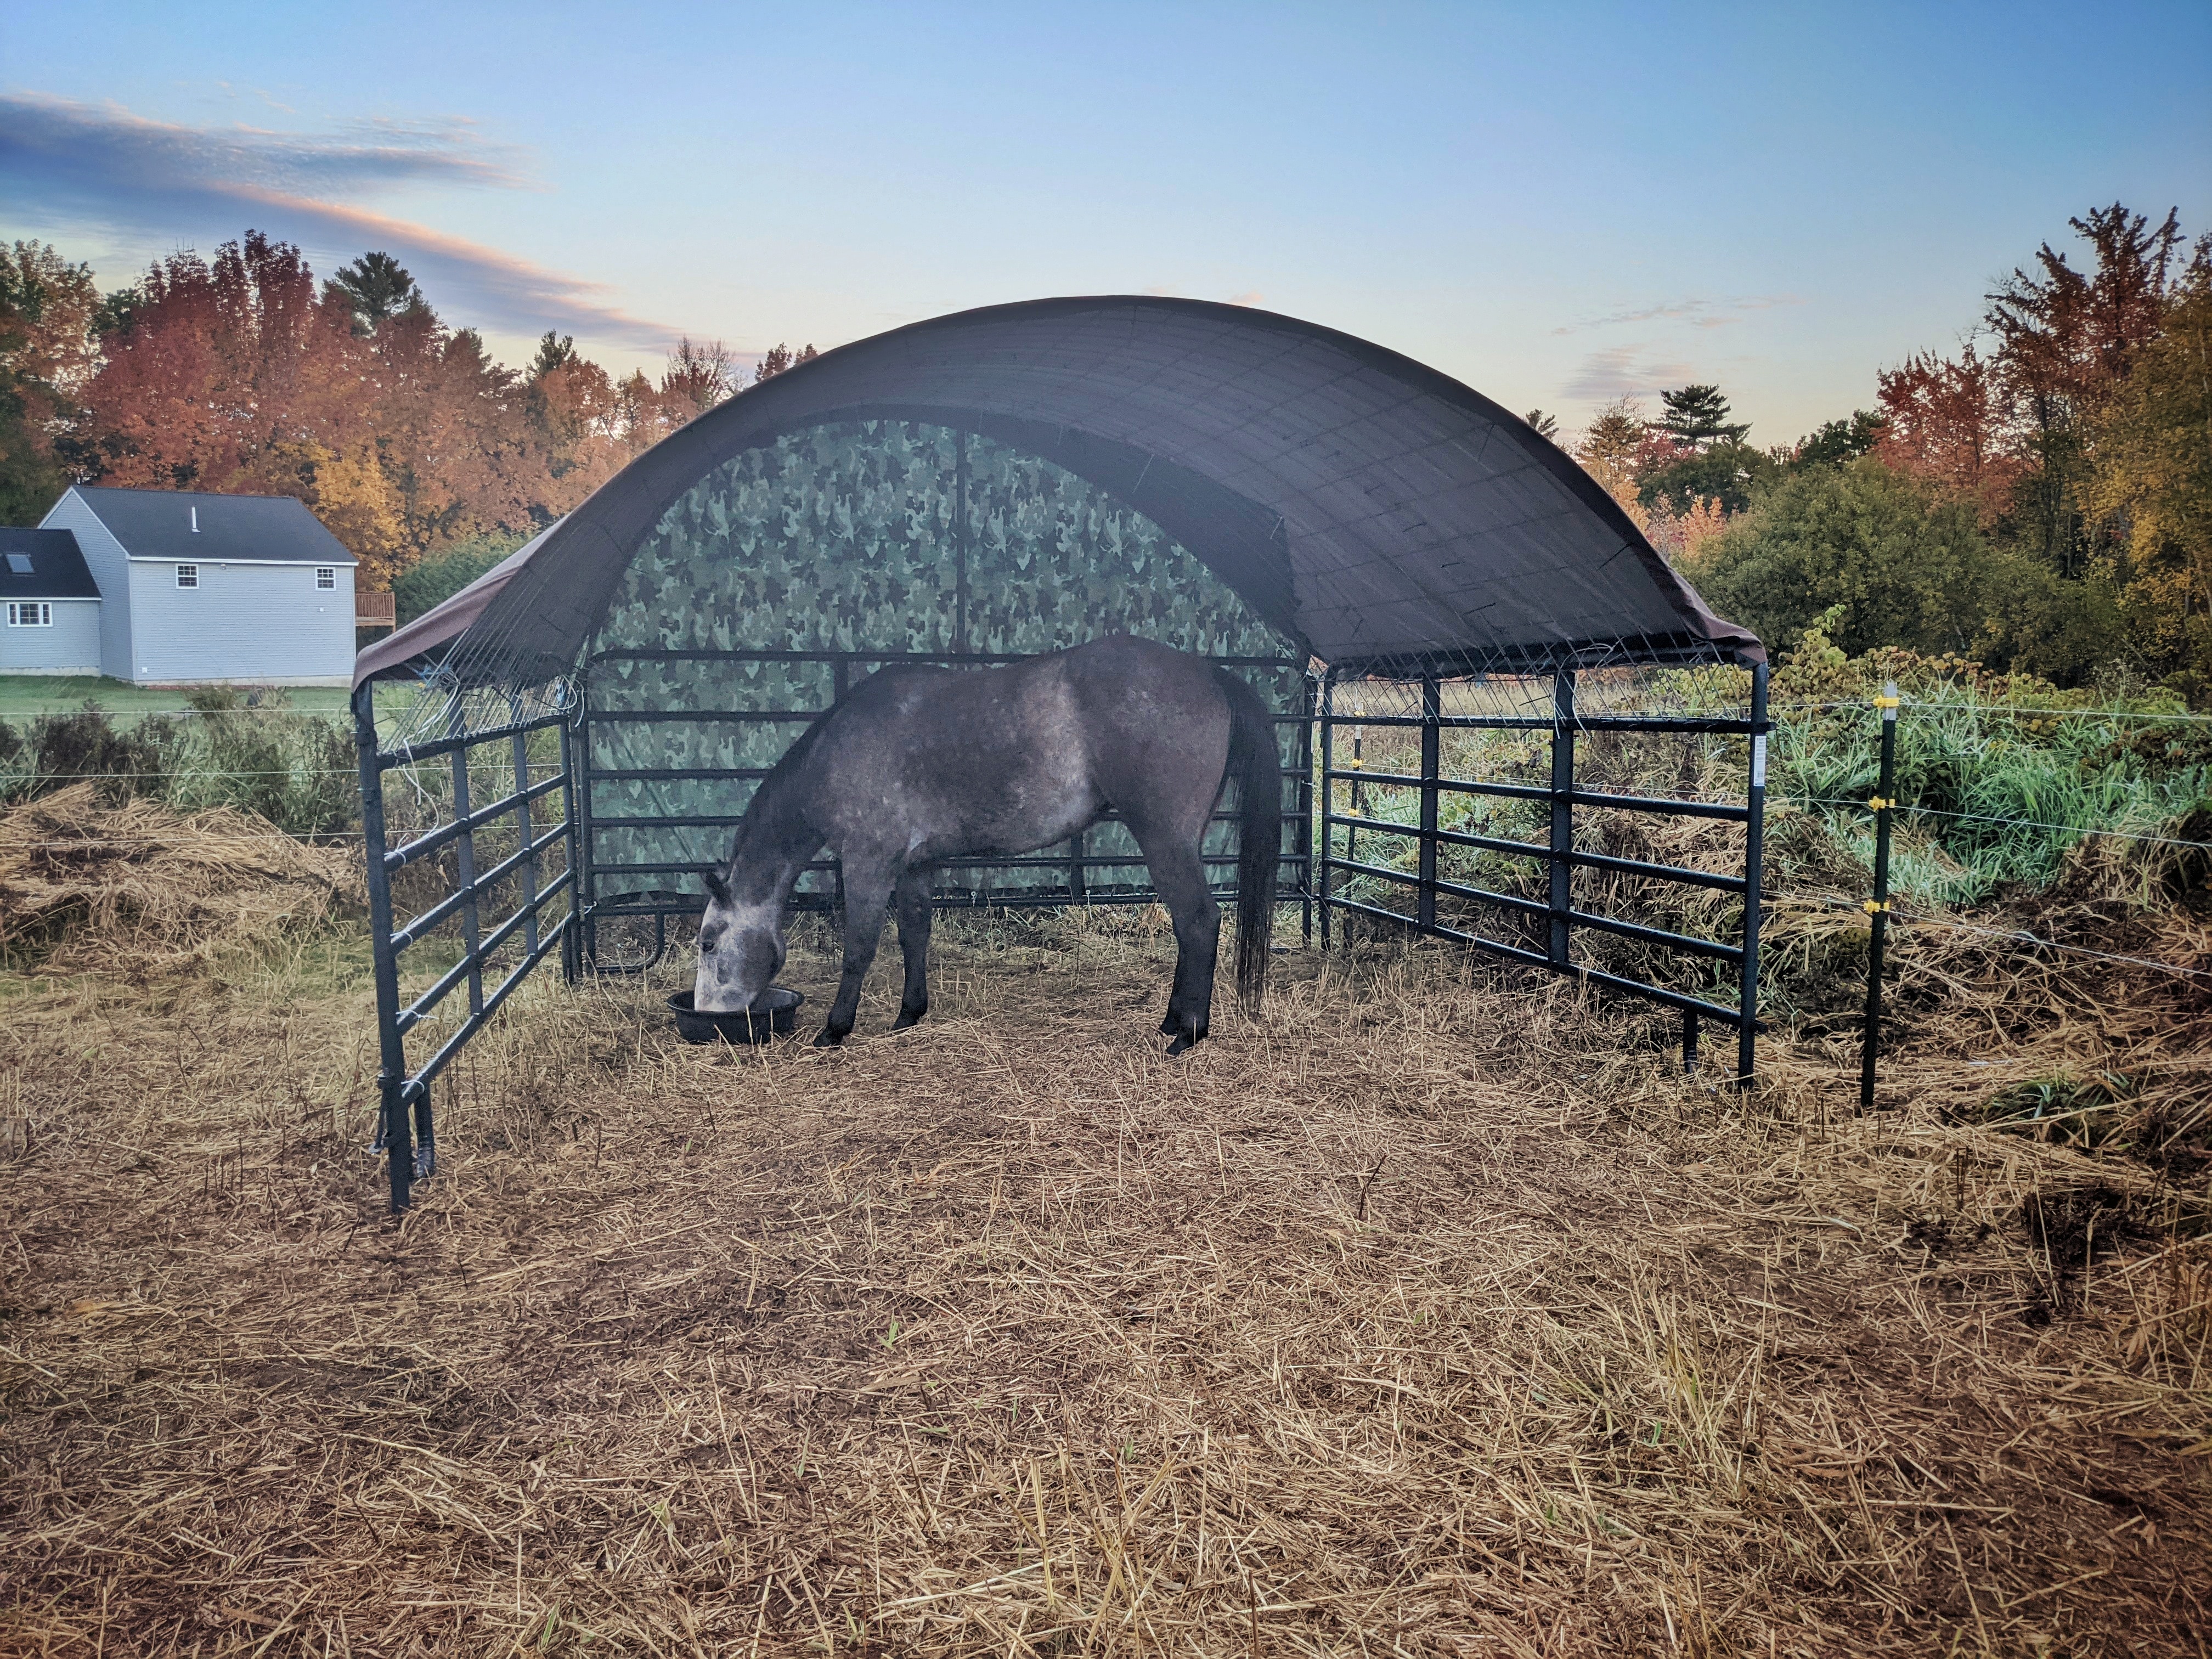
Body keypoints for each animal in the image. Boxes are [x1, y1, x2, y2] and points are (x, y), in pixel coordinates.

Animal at [693, 634, 1280, 1053]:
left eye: (707, 943)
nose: (706, 1016)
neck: (841, 750)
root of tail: (1207, 671)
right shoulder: (917, 865)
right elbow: (914, 936)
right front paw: (909, 1015)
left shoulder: (868, 863)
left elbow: (858, 948)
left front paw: (837, 1029)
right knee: (1188, 926)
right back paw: (1172, 1021)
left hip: (1165, 839)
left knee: (1198, 921)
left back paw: (1189, 1033)